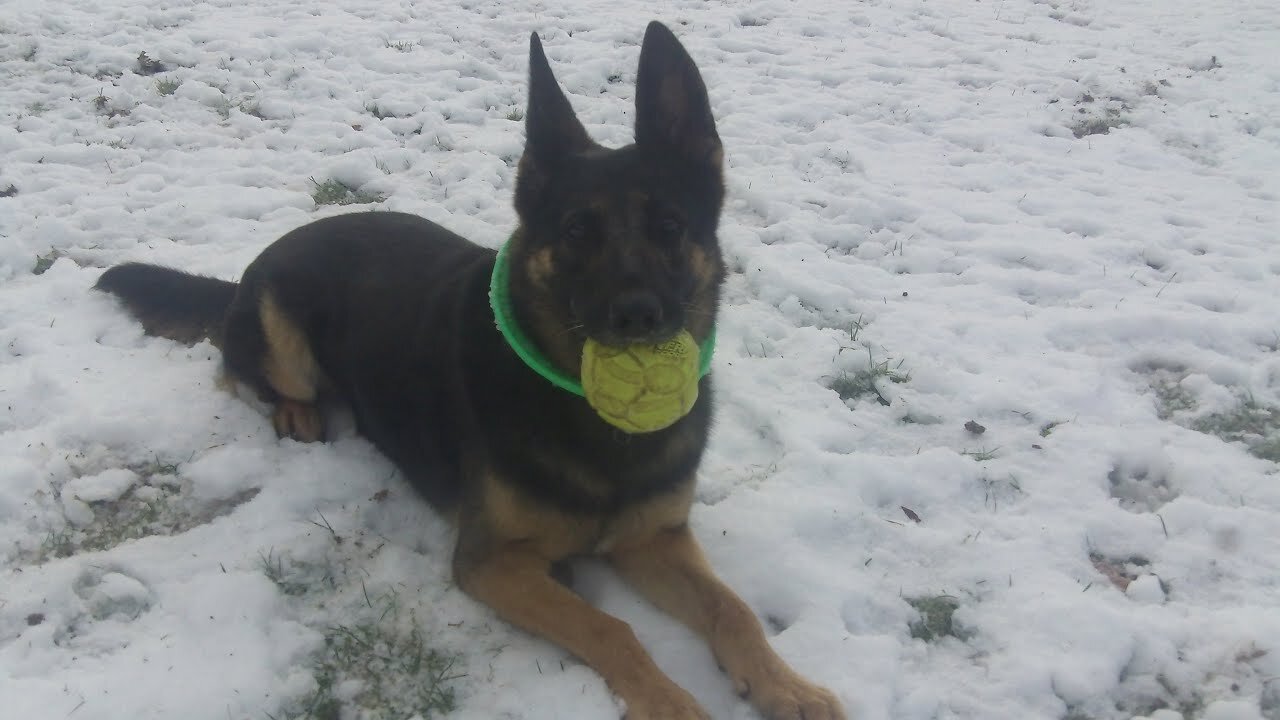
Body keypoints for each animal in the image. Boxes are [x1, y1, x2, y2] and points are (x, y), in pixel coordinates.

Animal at [94, 22, 844, 717]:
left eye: (670, 226)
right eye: (577, 231)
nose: (638, 316)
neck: (589, 417)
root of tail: (258, 263)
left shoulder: (654, 539)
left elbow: (732, 610)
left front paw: (786, 686)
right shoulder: (492, 562)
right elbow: (613, 629)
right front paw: (672, 703)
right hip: (285, 343)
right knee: (246, 374)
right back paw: (297, 413)